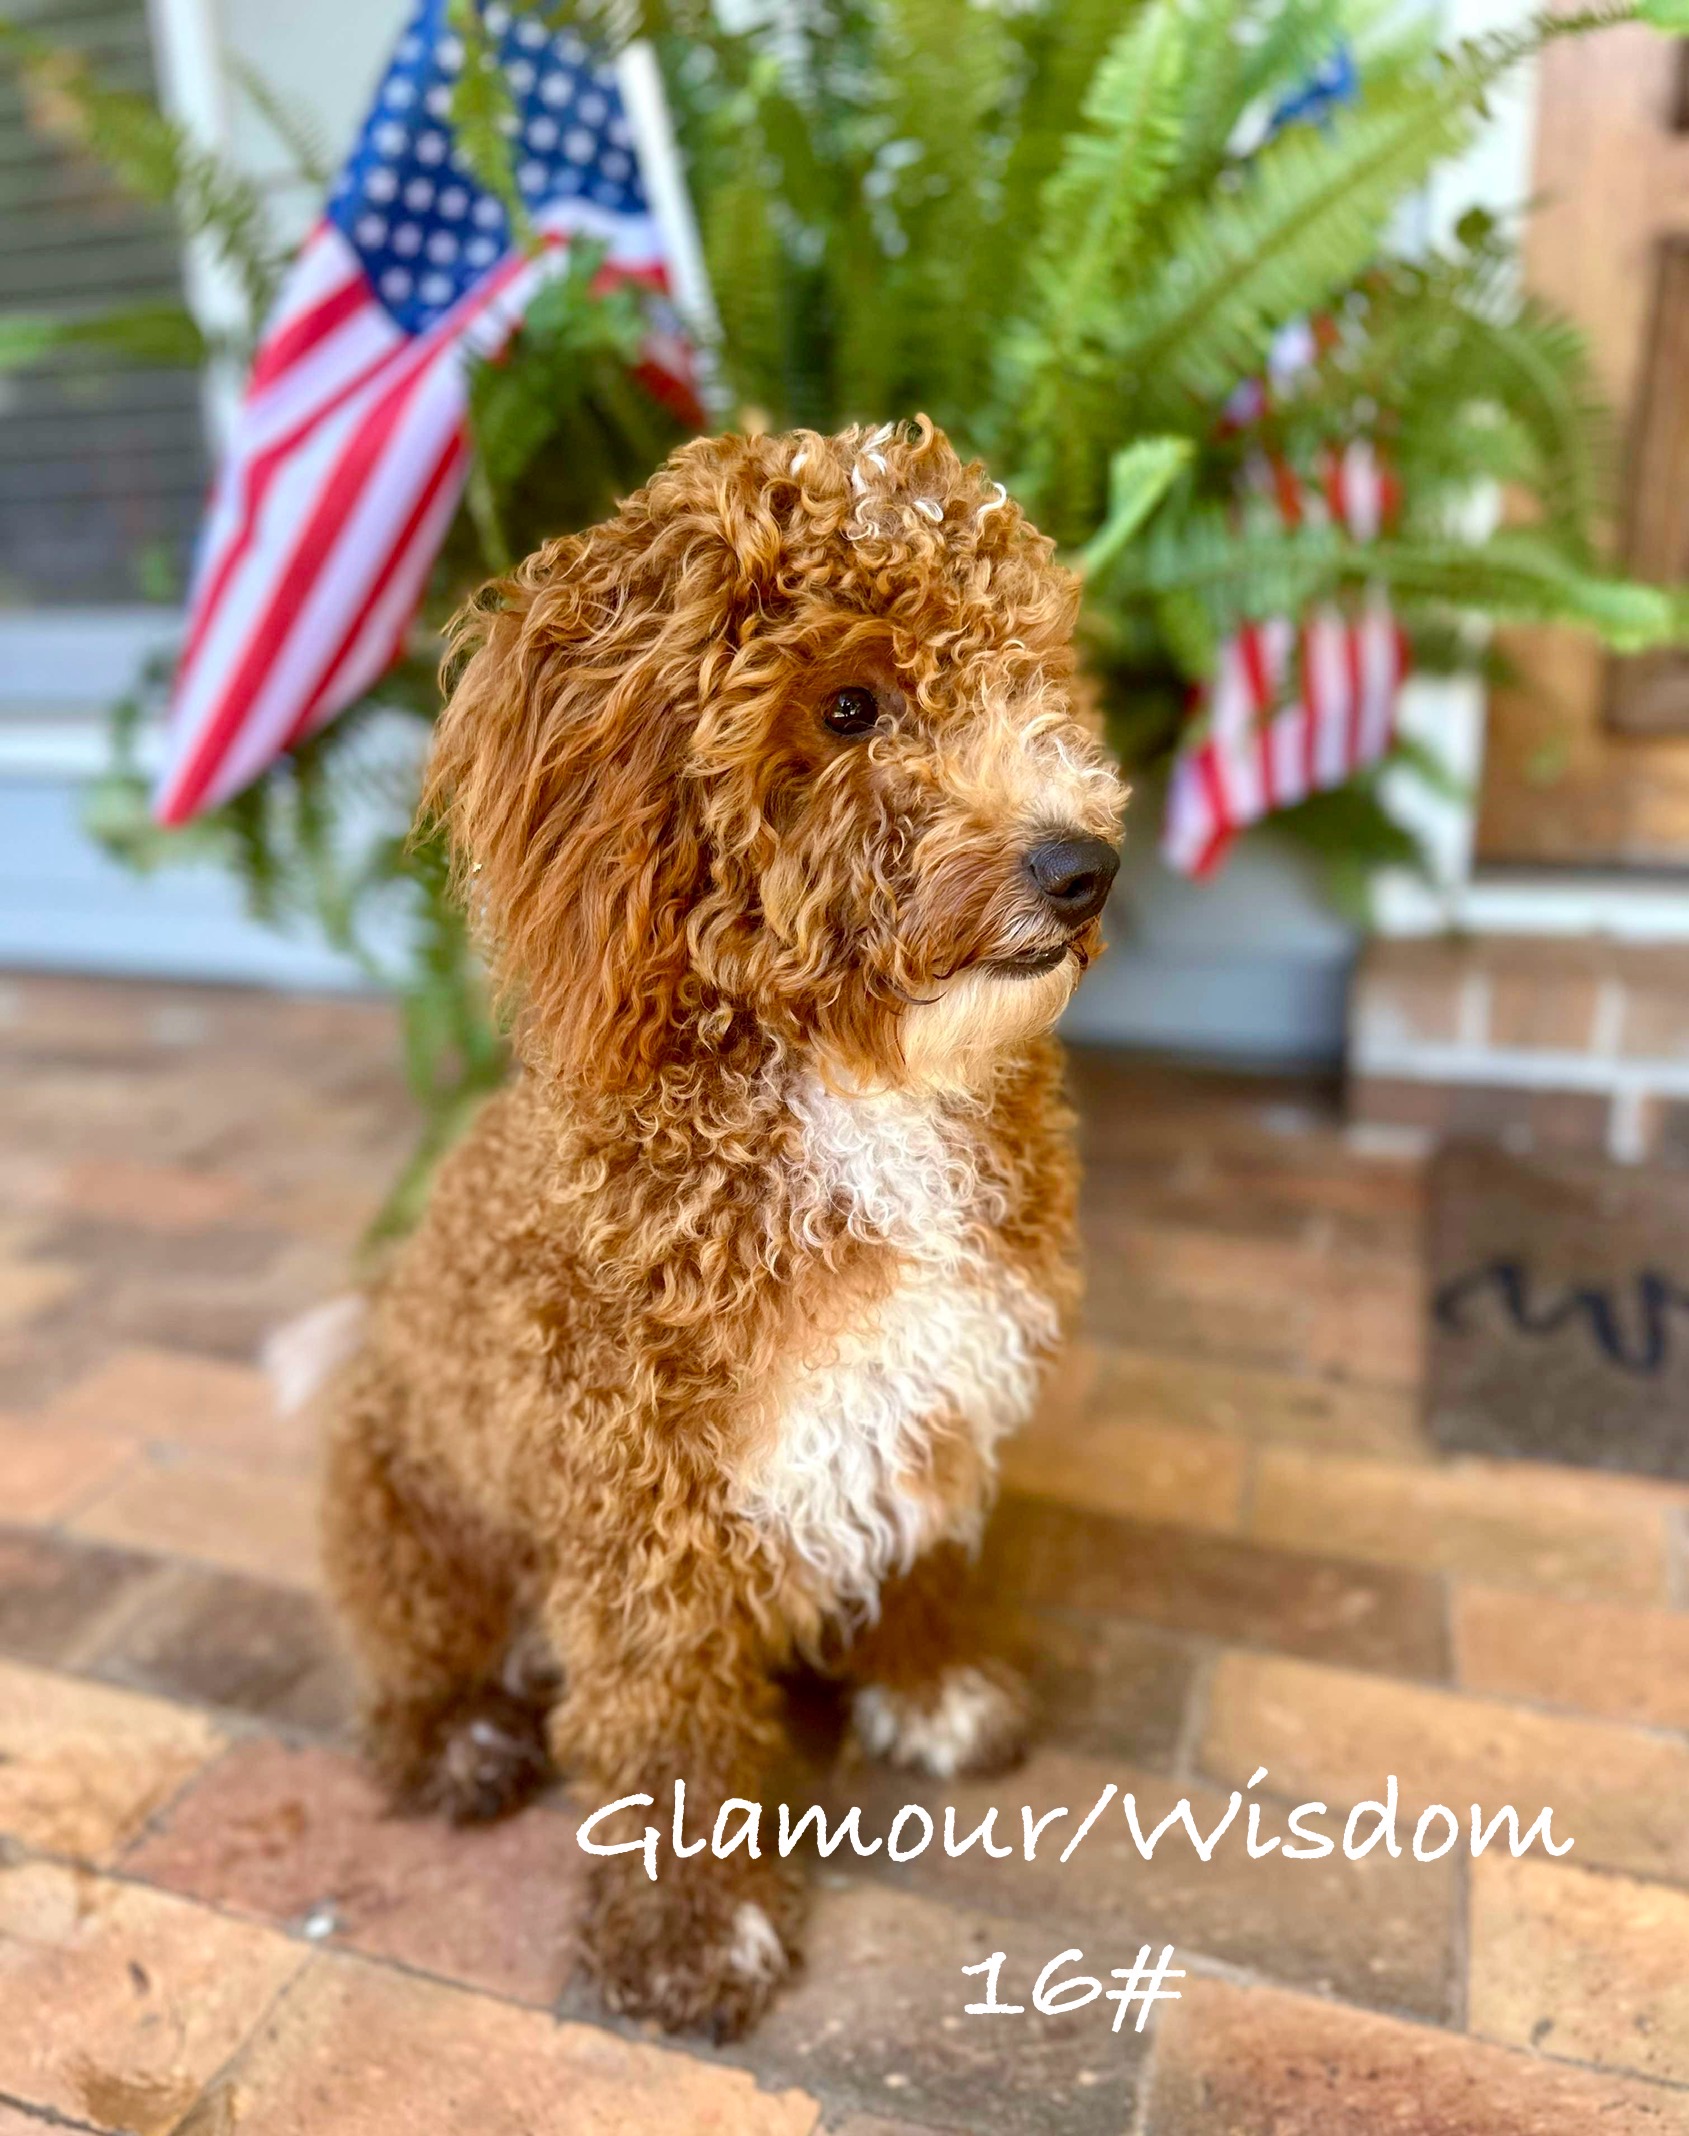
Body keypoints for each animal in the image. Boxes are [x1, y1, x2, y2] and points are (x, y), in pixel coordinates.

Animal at [320, 416, 1125, 2039]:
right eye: (849, 703)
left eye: (1025, 671)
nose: (1083, 867)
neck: (847, 1084)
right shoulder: (640, 1490)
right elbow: (669, 1724)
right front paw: (691, 1935)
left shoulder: (929, 1387)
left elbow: (921, 1552)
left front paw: (930, 1692)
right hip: (397, 1500)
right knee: (409, 1660)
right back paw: (456, 1739)